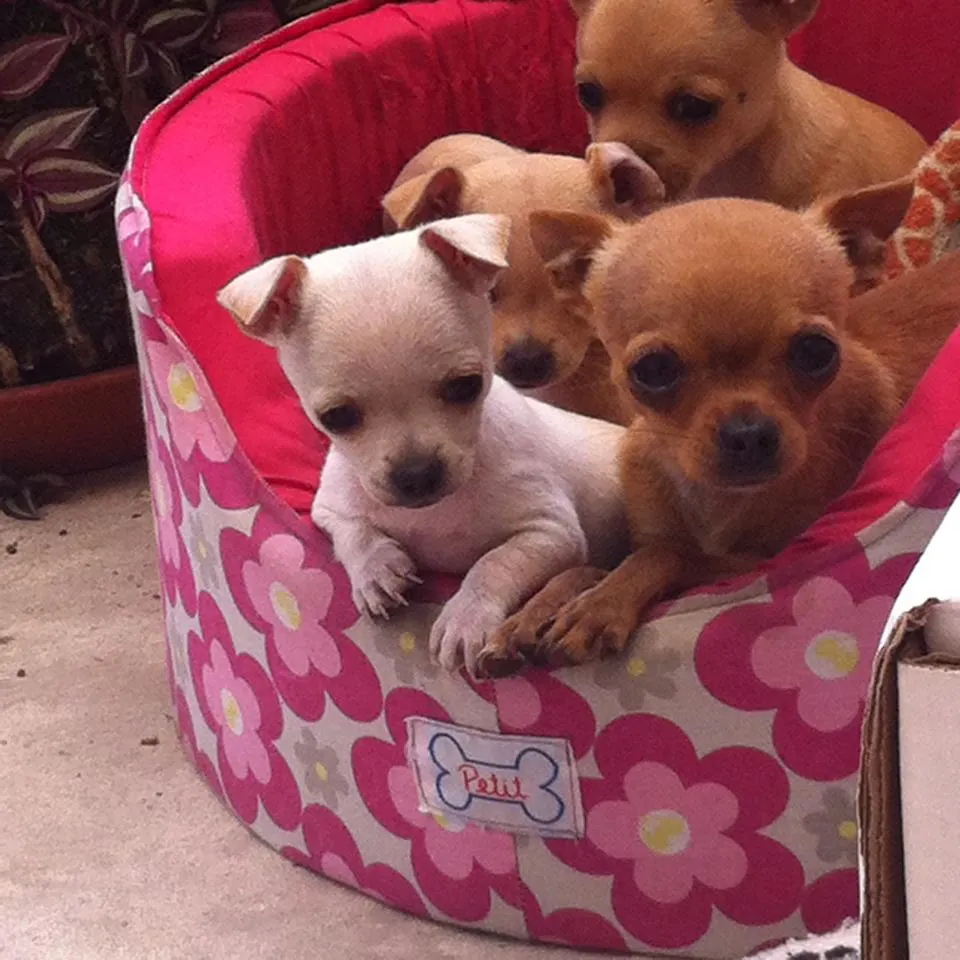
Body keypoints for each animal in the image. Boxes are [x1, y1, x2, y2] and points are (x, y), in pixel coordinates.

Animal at [474, 178, 960, 676]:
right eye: (652, 369)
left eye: (817, 351)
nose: (748, 433)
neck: (712, 499)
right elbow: (587, 567)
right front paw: (530, 614)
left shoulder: (756, 562)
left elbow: (667, 552)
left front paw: (599, 606)